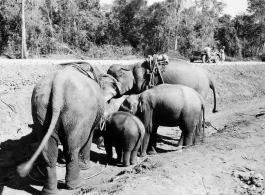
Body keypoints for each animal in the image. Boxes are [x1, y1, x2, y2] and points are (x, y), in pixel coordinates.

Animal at [16, 62, 124, 195]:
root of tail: (57, 84)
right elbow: (89, 135)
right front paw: (85, 167)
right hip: (77, 112)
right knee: (72, 148)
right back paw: (77, 185)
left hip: (40, 110)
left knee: (49, 150)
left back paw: (49, 191)